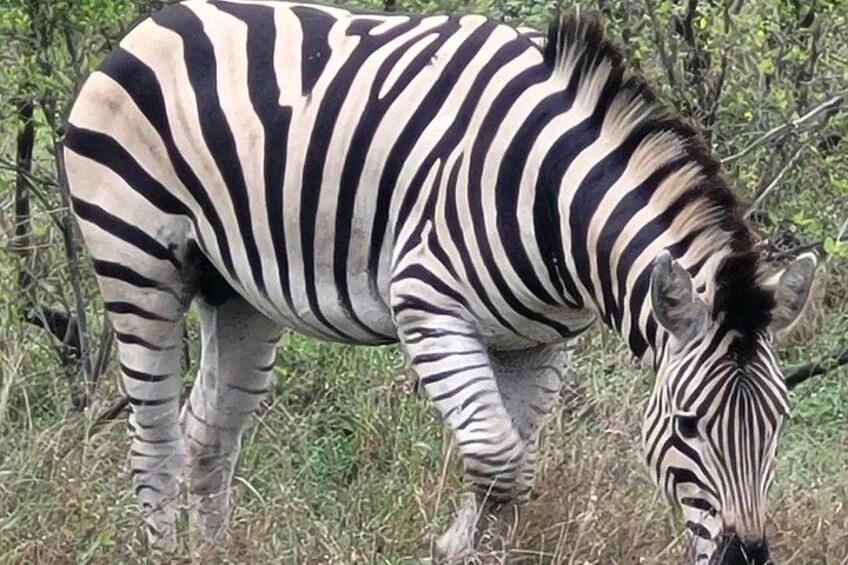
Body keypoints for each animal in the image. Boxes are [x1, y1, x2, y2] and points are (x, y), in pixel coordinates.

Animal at [63, 1, 818, 563]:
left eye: (781, 420)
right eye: (688, 425)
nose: (747, 559)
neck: (557, 205)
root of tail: (163, 18)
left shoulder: (540, 341)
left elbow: (514, 468)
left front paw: (474, 548)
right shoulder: (428, 305)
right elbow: (498, 461)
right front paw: (451, 546)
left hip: (237, 290)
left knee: (206, 432)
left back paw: (213, 551)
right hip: (136, 260)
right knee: (153, 437)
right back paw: (165, 546)